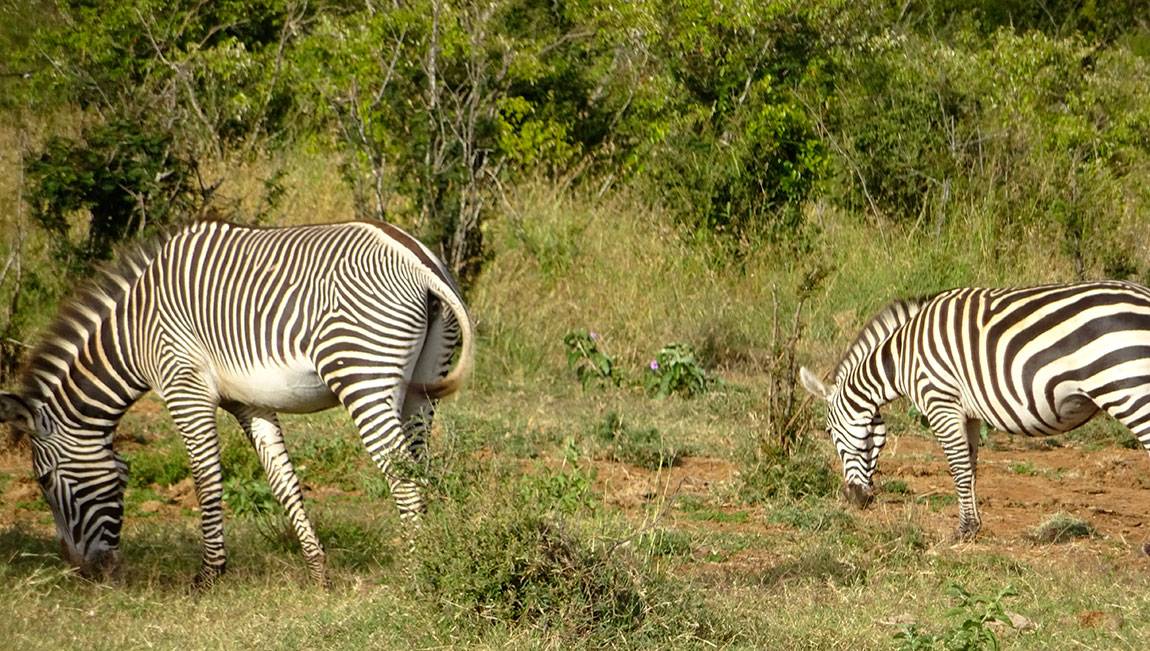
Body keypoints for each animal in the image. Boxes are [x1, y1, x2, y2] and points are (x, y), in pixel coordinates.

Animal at [0, 219, 473, 586]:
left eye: (43, 480)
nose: (83, 573)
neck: (134, 332)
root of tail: (419, 261)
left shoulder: (184, 386)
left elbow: (205, 478)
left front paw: (209, 575)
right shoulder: (249, 403)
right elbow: (283, 482)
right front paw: (318, 571)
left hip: (362, 374)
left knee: (402, 474)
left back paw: (414, 574)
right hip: (422, 383)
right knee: (420, 467)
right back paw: (432, 556)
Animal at [805, 282, 1150, 542]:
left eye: (829, 433)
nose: (855, 499)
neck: (903, 356)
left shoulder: (940, 402)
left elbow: (957, 467)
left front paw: (963, 530)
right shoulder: (967, 412)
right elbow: (969, 467)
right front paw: (973, 526)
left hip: (1130, 391)